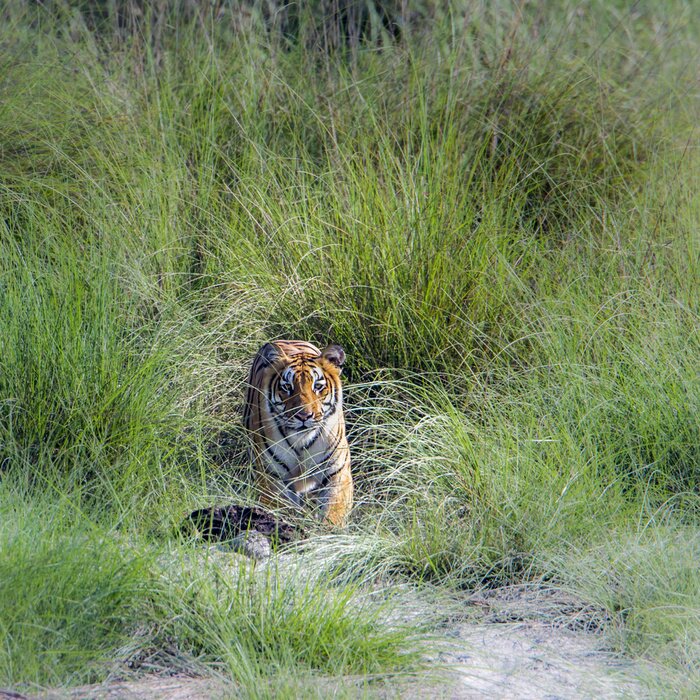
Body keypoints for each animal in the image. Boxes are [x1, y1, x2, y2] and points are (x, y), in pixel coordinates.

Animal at [243, 340, 352, 527]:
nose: (303, 416)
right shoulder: (272, 477)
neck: (302, 440)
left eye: (318, 387)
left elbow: (333, 511)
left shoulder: (337, 474)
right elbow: (281, 508)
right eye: (287, 387)